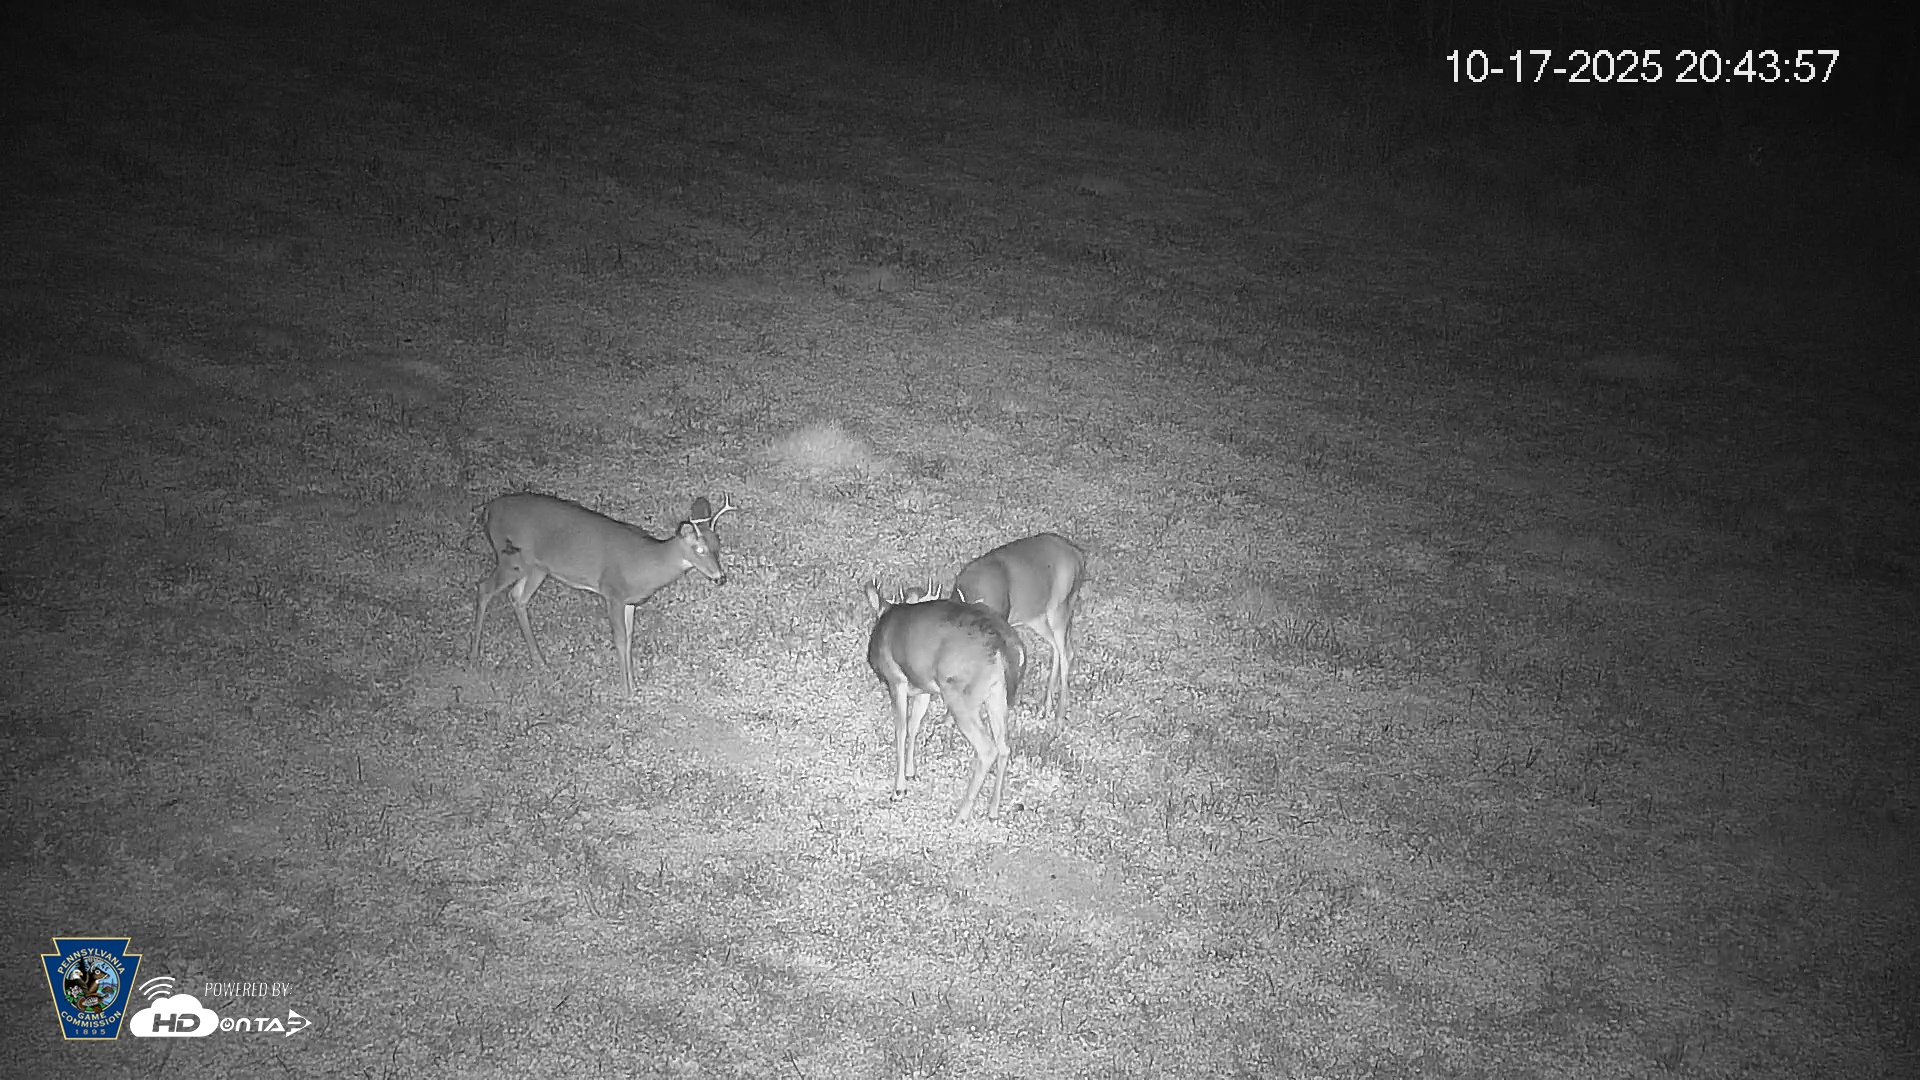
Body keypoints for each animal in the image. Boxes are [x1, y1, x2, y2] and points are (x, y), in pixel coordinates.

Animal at [468, 493, 734, 695]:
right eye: (699, 549)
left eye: (718, 545)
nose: (720, 578)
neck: (645, 564)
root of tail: (489, 509)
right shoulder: (612, 591)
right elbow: (620, 640)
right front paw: (626, 691)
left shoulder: (630, 601)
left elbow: (629, 639)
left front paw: (633, 685)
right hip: (511, 557)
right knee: (484, 588)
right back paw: (473, 656)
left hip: (536, 567)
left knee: (517, 598)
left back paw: (540, 661)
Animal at [864, 583, 1025, 821]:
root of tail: (1004, 647)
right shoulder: (924, 687)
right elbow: (914, 725)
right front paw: (910, 772)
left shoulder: (896, 680)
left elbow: (901, 730)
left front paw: (898, 789)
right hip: (997, 694)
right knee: (1004, 747)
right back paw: (993, 810)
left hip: (959, 694)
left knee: (988, 749)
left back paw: (961, 813)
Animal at [953, 533, 1084, 725]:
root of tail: (1077, 554)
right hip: (1038, 616)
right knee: (1058, 649)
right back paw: (1046, 708)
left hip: (1058, 605)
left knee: (1066, 653)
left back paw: (1059, 715)